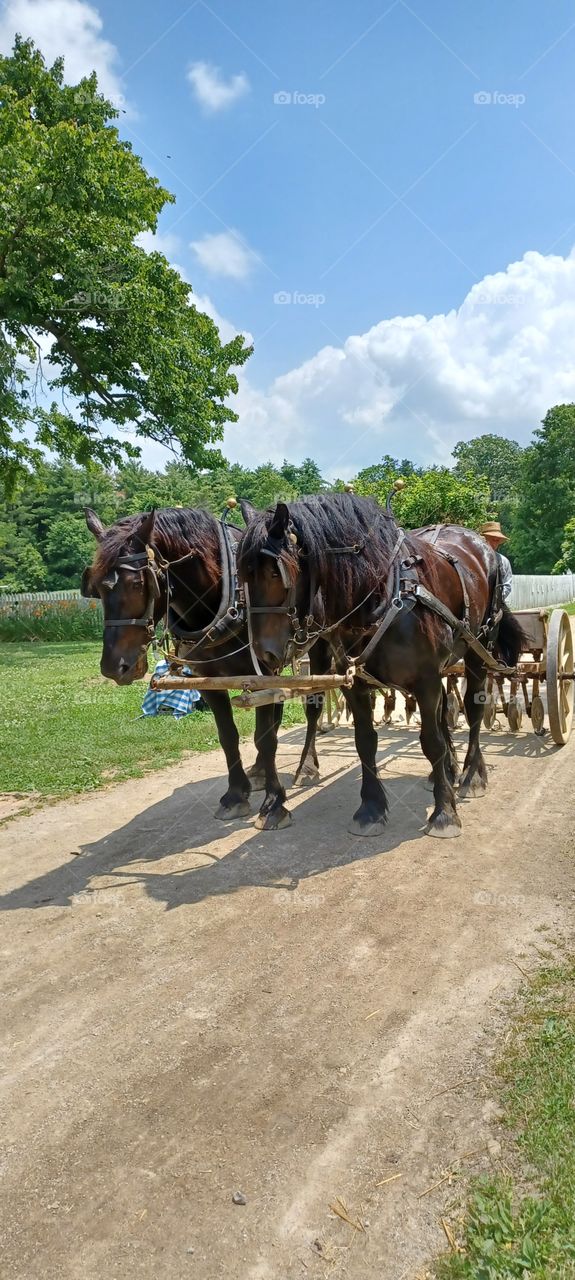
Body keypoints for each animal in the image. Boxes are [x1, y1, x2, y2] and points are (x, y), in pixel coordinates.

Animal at [81, 504, 329, 828]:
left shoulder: (260, 673)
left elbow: (265, 738)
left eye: (137, 584)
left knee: (313, 706)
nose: (114, 666)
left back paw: (307, 767)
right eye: (96, 587)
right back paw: (261, 771)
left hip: (321, 647)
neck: (222, 599)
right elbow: (229, 737)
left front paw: (274, 804)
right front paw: (236, 795)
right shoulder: (210, 680)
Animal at [237, 492, 524, 838]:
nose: (263, 654)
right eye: (242, 575)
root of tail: (479, 544)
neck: (387, 596)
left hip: (478, 650)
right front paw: (371, 808)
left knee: (473, 711)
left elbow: (431, 742)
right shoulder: (356, 683)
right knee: (445, 712)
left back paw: (472, 775)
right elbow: (366, 742)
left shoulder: (425, 680)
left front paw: (444, 812)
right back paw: (447, 771)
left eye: (275, 573)